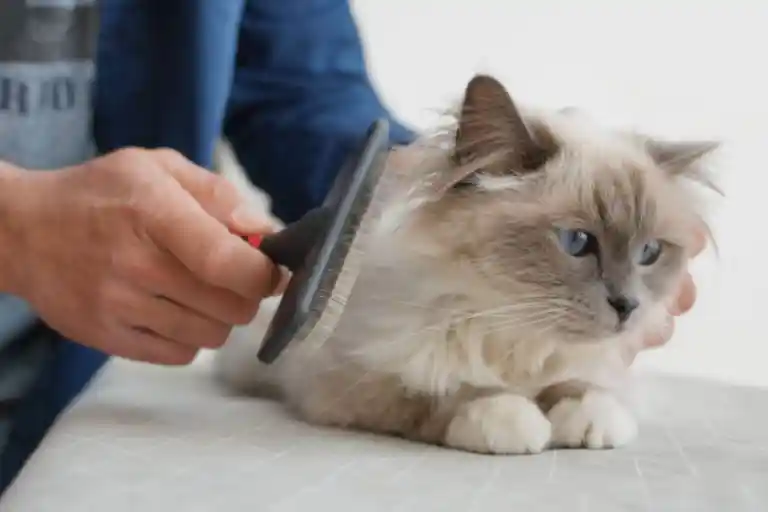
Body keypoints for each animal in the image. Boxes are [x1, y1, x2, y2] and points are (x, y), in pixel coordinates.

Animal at [213, 74, 716, 454]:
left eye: (649, 253)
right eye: (577, 242)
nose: (628, 306)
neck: (511, 331)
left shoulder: (585, 361)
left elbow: (579, 383)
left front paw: (590, 419)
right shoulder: (353, 376)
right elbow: (443, 392)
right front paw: (510, 418)